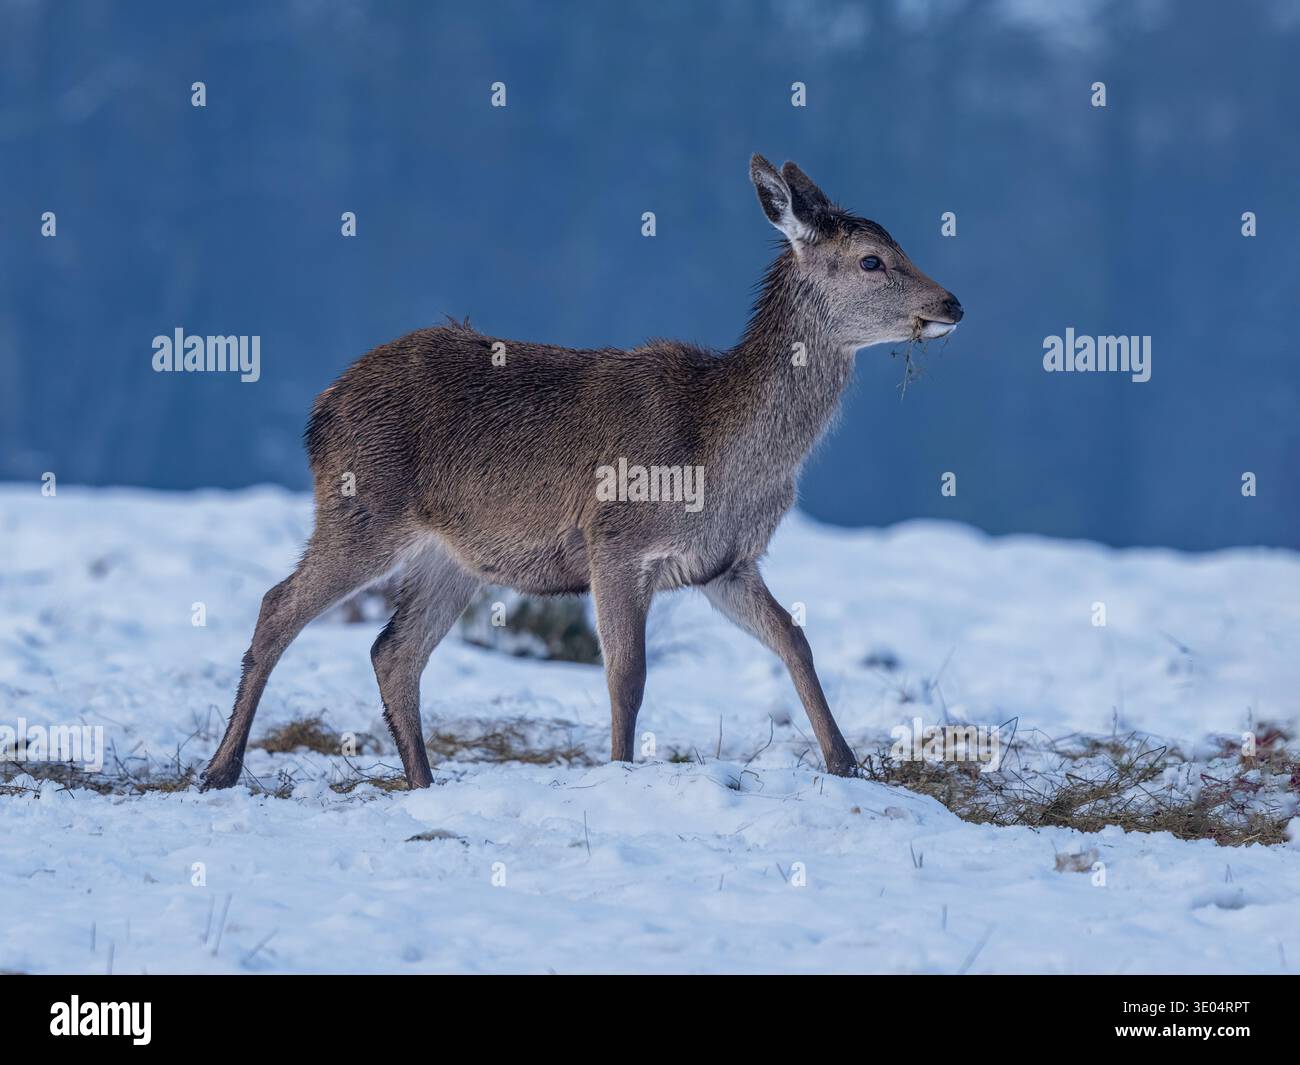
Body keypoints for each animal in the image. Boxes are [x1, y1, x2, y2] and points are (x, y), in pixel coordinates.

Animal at [201, 155, 962, 791]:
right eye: (872, 260)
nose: (952, 304)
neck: (721, 454)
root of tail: (319, 410)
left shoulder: (724, 561)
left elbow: (795, 640)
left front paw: (846, 765)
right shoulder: (615, 540)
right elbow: (627, 674)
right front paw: (620, 771)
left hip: (451, 555)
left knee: (394, 650)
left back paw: (422, 782)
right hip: (363, 507)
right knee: (278, 607)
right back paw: (220, 770)